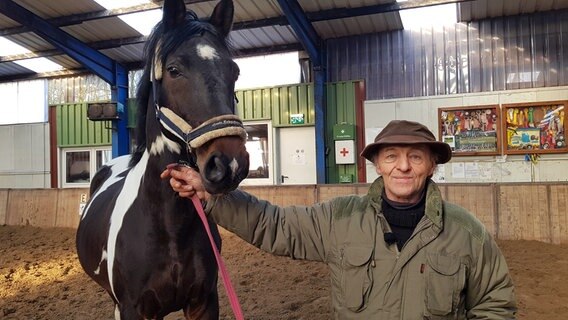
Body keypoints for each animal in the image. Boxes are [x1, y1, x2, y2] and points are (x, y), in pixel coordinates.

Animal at [75, 1, 248, 318]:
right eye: (174, 70)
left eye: (235, 71)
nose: (228, 163)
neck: (170, 226)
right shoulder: (133, 308)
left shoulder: (204, 302)